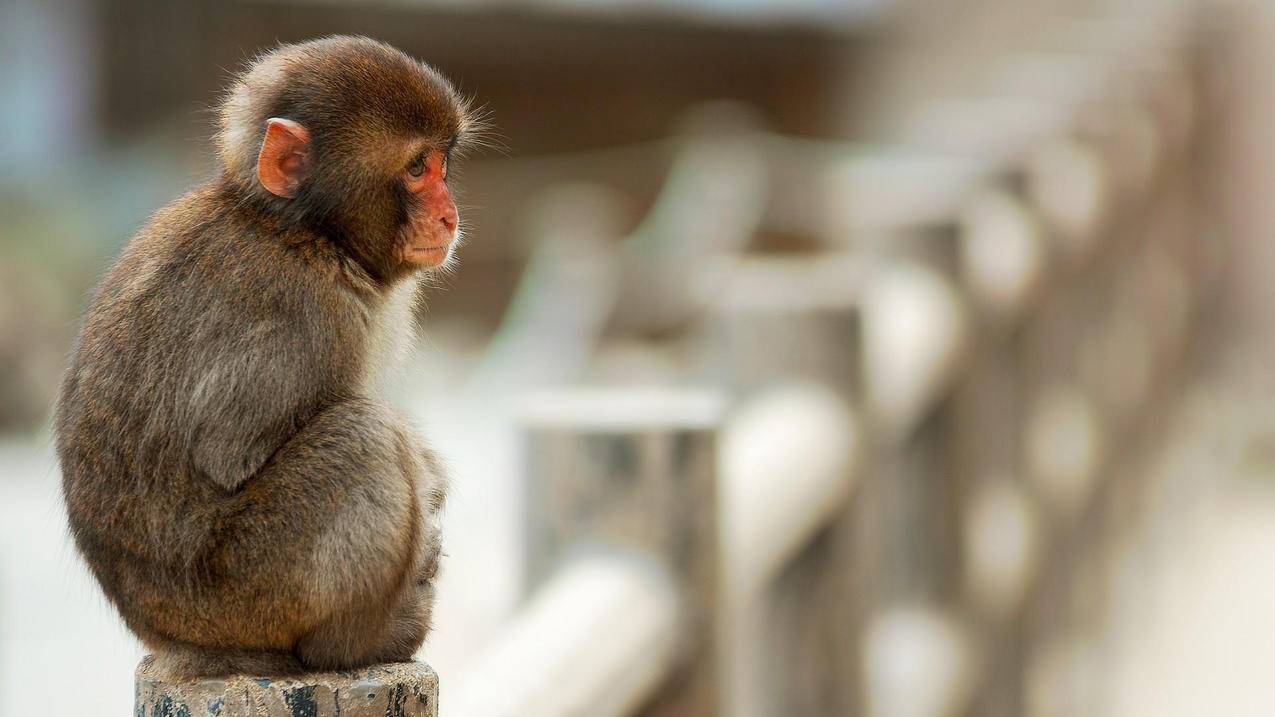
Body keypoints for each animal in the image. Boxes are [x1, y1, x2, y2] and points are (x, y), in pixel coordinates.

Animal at [54, 37, 481, 673]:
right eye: (414, 169)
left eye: (441, 165)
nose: (450, 214)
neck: (303, 233)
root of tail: (166, 635)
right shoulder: (302, 314)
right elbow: (231, 455)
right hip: (247, 595)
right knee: (363, 437)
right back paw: (357, 644)